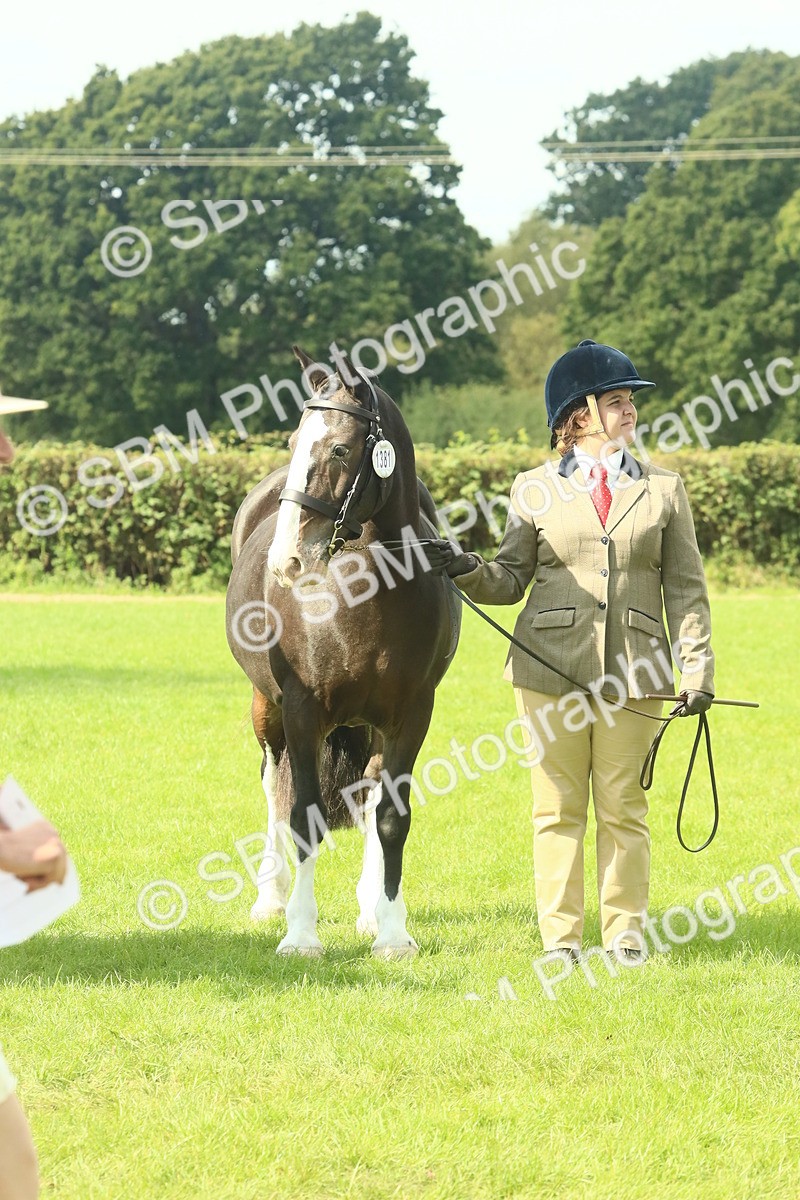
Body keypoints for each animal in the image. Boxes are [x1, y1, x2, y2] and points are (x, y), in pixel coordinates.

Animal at [225, 346, 461, 958]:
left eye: (338, 448)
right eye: (292, 441)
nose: (286, 558)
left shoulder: (412, 716)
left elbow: (392, 818)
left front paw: (393, 931)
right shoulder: (302, 710)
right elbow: (302, 816)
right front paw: (300, 933)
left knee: (372, 795)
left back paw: (369, 910)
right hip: (265, 708)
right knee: (272, 786)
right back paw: (270, 899)